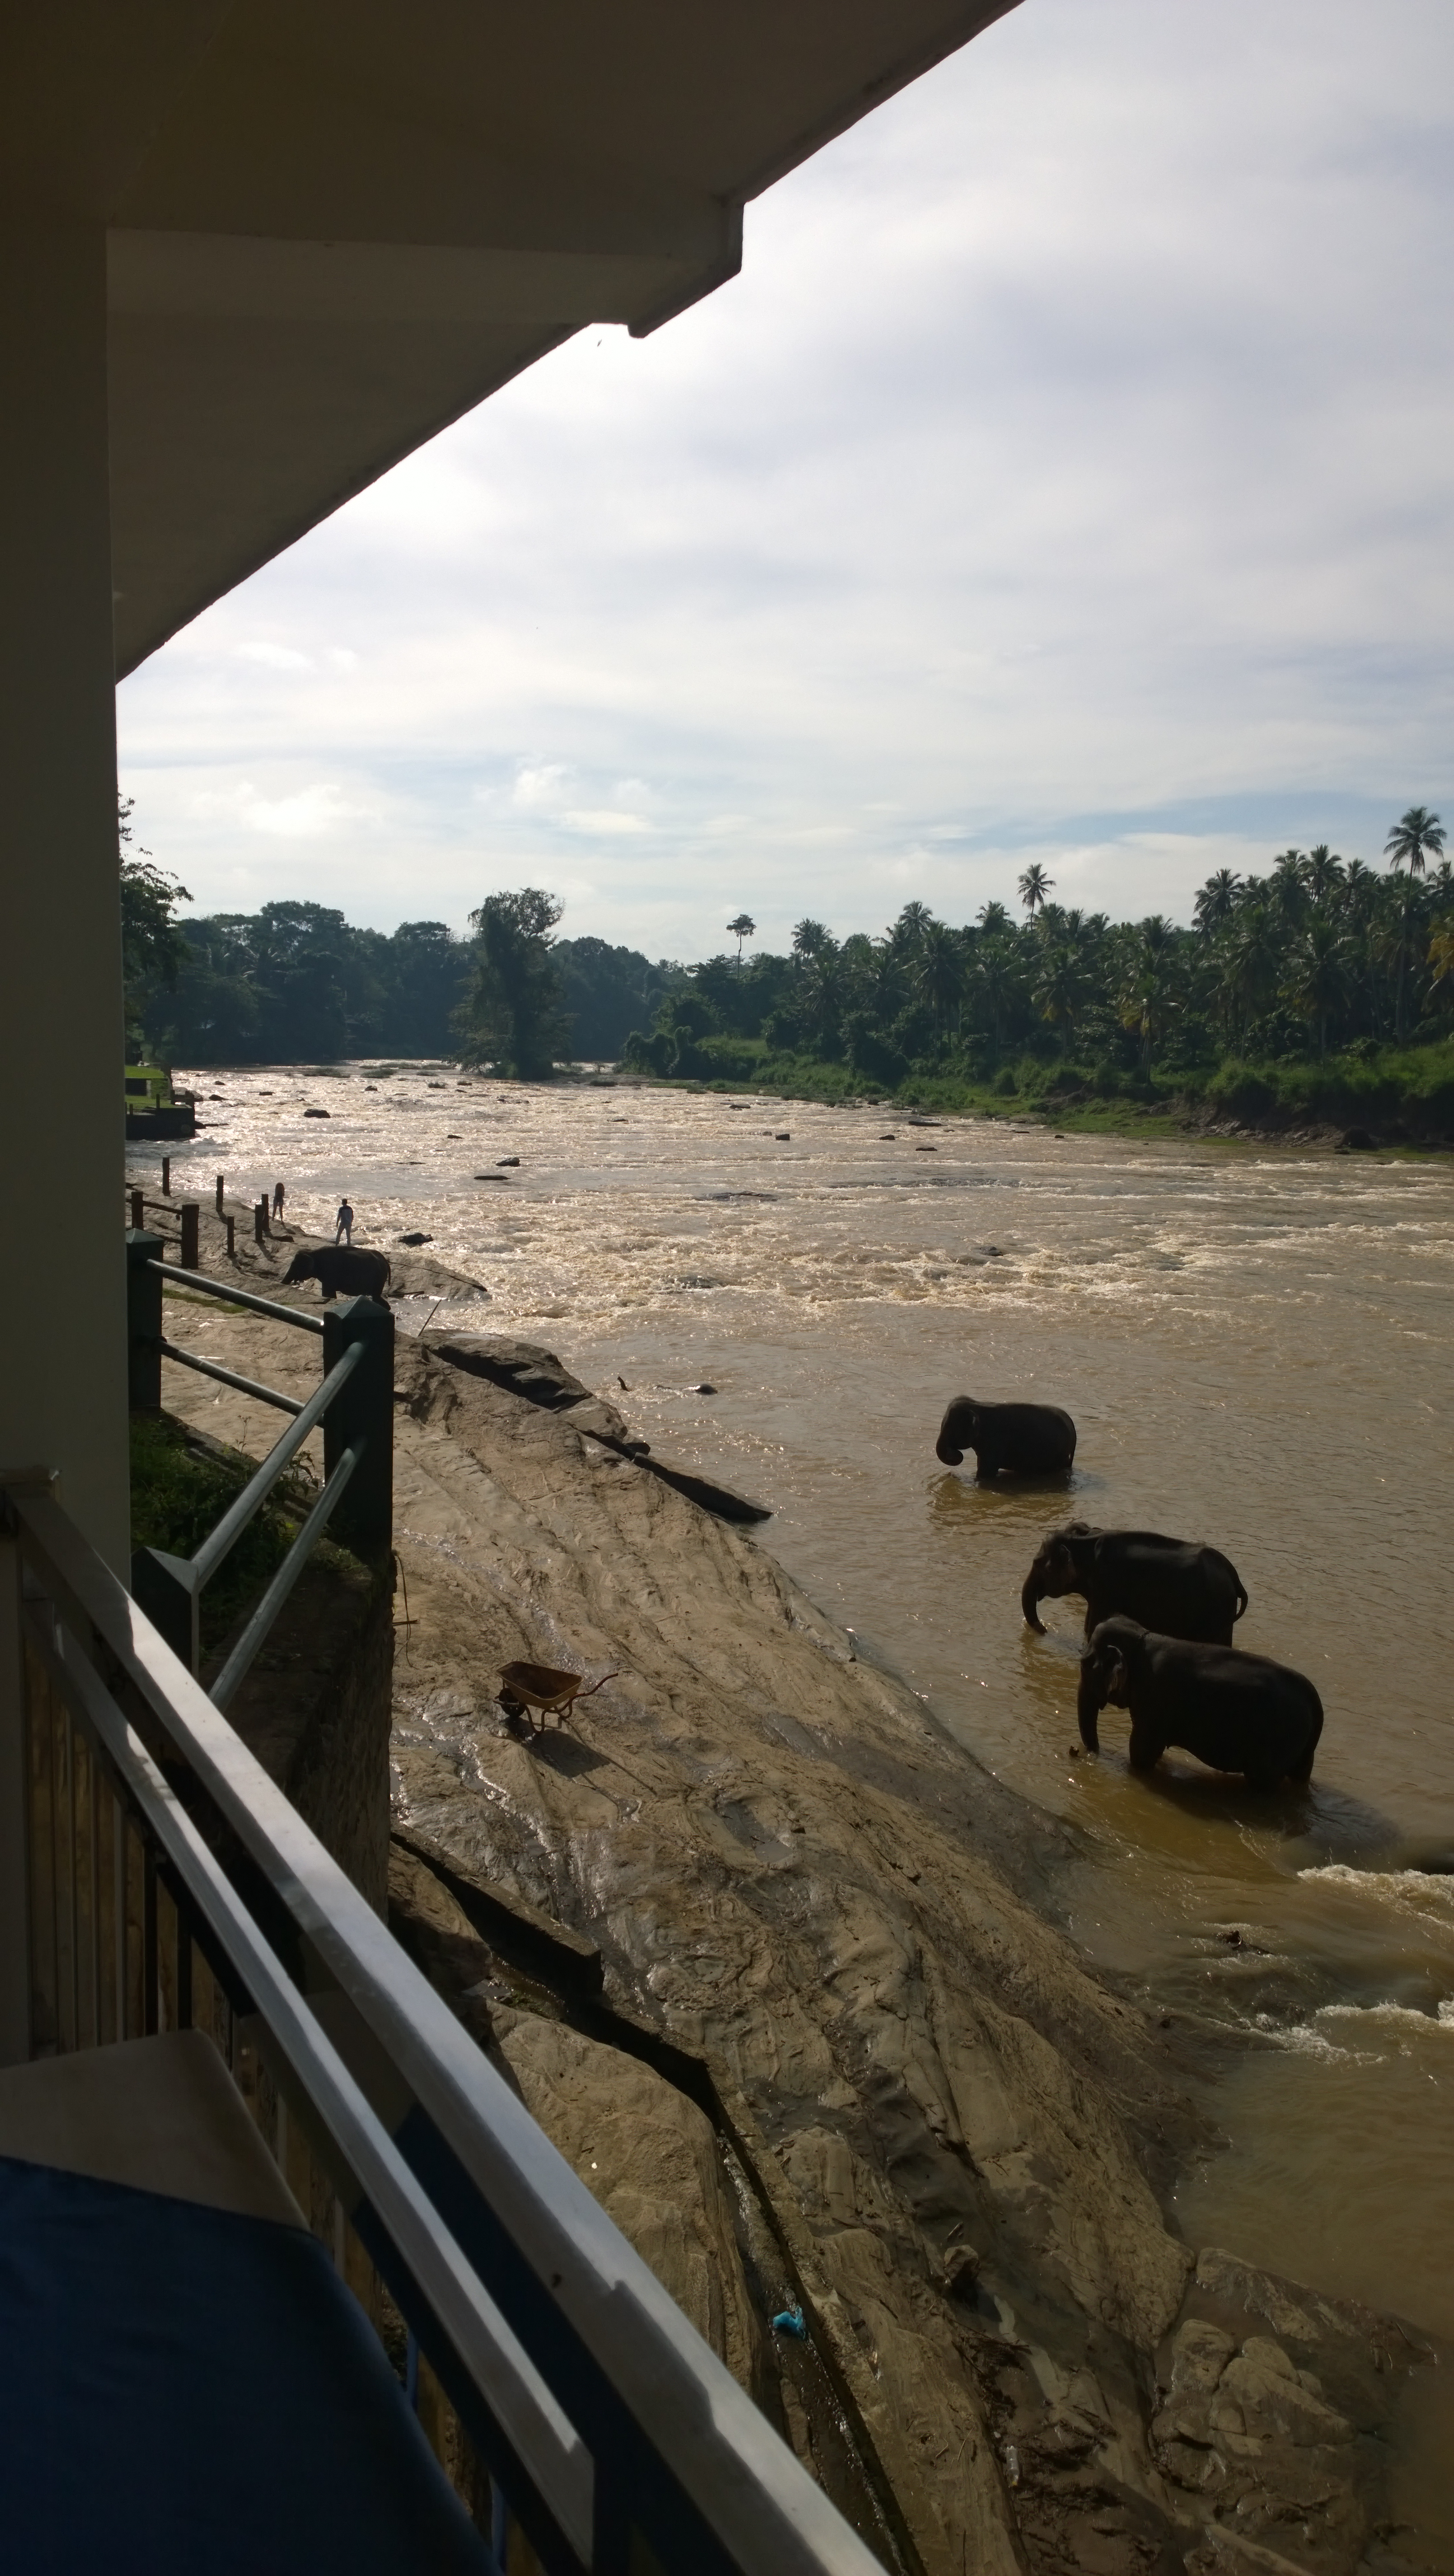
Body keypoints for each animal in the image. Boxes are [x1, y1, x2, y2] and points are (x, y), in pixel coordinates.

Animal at [1021, 1514, 1248, 1638]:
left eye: (1041, 1565)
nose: (1045, 1629)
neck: (1085, 1540)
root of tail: (1235, 1578)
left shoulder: (1106, 1587)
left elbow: (1093, 1626)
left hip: (1216, 1613)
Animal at [1077, 1607, 1320, 1793]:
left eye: (1087, 1664)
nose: (1082, 1754)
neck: (1141, 1635)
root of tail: (1314, 1698)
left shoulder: (1154, 1701)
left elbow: (1141, 1750)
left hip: (1277, 1742)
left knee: (1263, 1781)